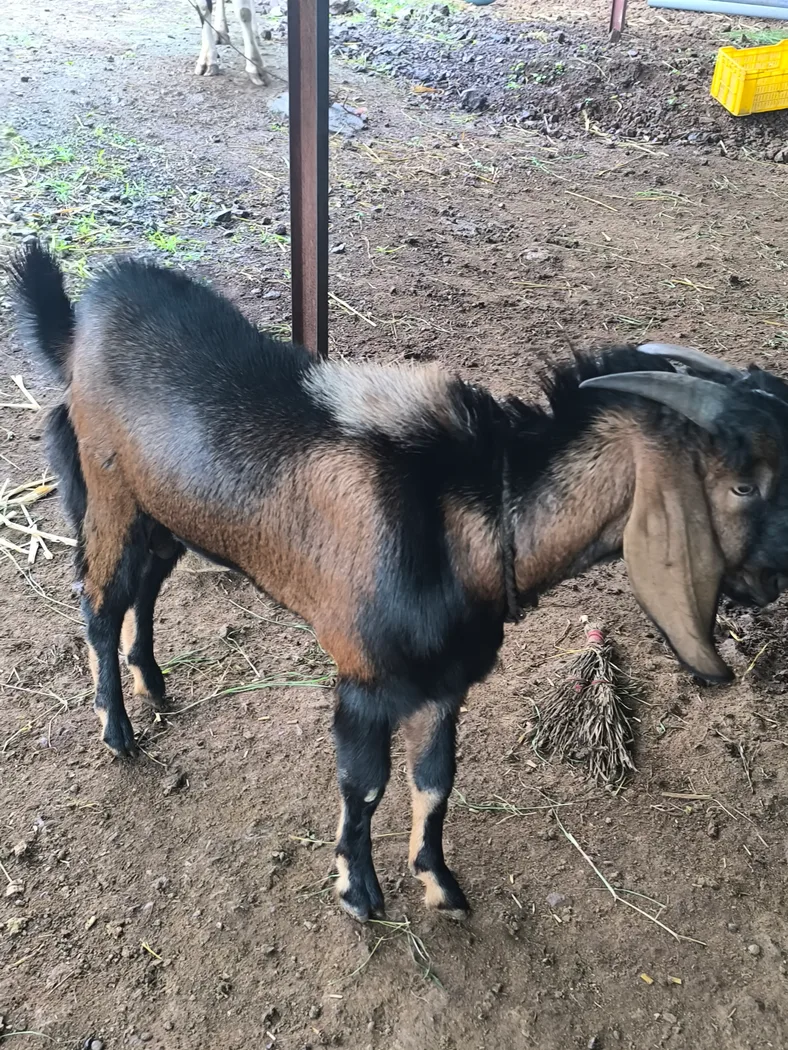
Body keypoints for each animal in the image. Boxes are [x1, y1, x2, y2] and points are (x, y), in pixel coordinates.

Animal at [11, 240, 788, 923]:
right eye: (742, 485)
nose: (772, 583)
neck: (461, 524)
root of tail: (82, 315)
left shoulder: (445, 680)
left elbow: (436, 780)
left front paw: (440, 885)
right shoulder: (364, 676)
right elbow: (365, 785)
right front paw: (358, 892)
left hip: (165, 512)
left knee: (145, 587)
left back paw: (155, 684)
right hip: (108, 490)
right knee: (99, 600)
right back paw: (118, 731)